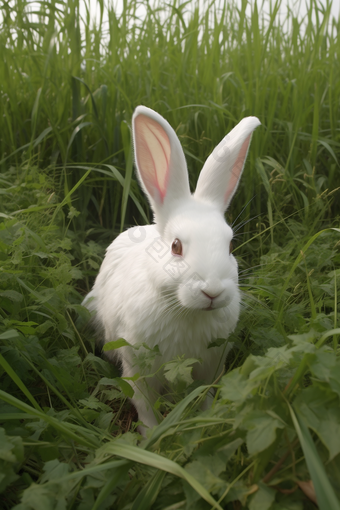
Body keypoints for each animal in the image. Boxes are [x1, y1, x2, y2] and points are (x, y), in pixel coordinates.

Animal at [85, 105, 260, 432]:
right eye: (176, 246)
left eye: (230, 245)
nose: (212, 292)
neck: (186, 311)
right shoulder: (138, 365)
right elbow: (144, 405)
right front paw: (152, 436)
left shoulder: (211, 365)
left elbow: (204, 395)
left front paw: (205, 421)